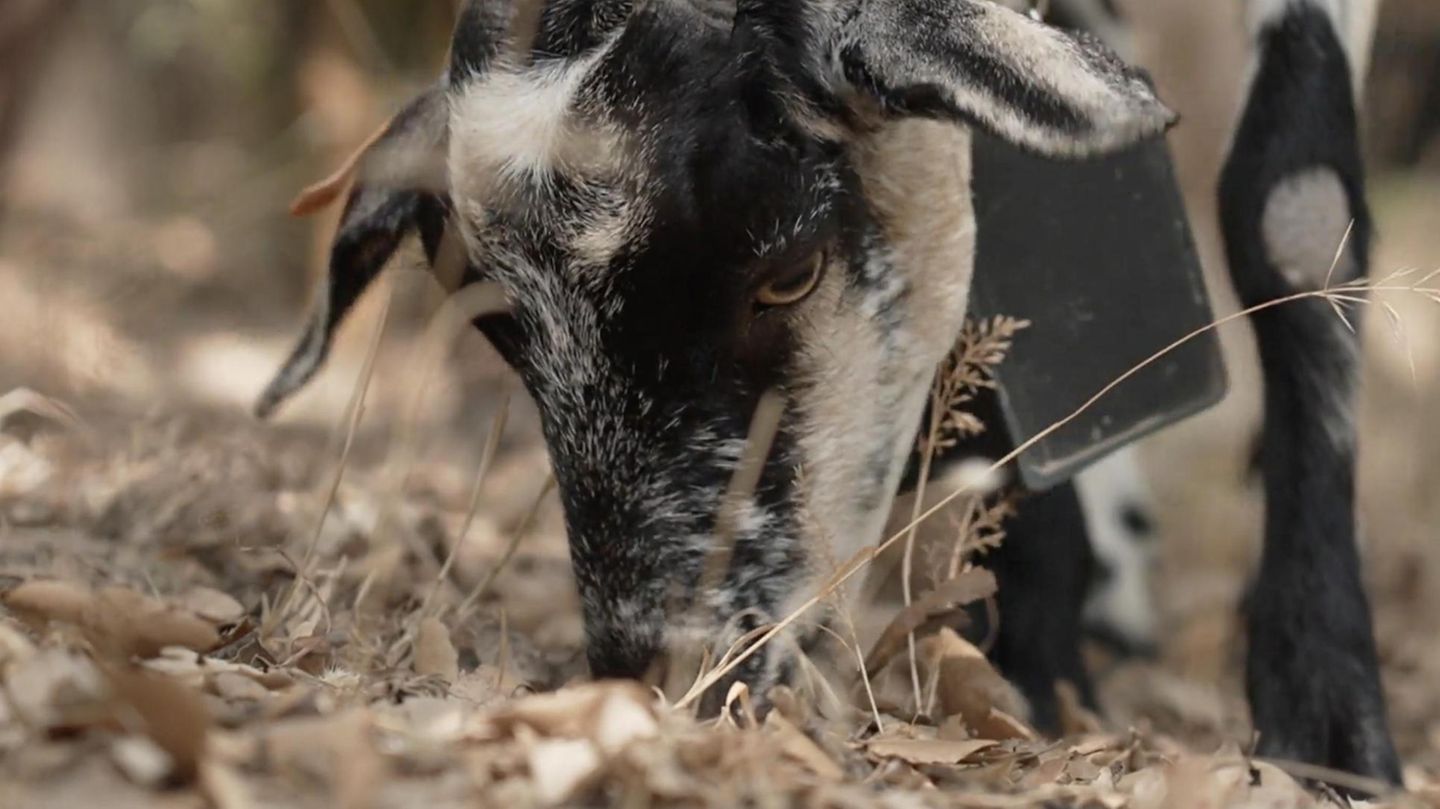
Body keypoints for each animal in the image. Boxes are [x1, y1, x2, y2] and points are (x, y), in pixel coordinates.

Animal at [258, 0, 1400, 785]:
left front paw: (1328, 717)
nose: (677, 675)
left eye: (790, 270)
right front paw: (1036, 641)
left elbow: (1294, 205)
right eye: (503, 331)